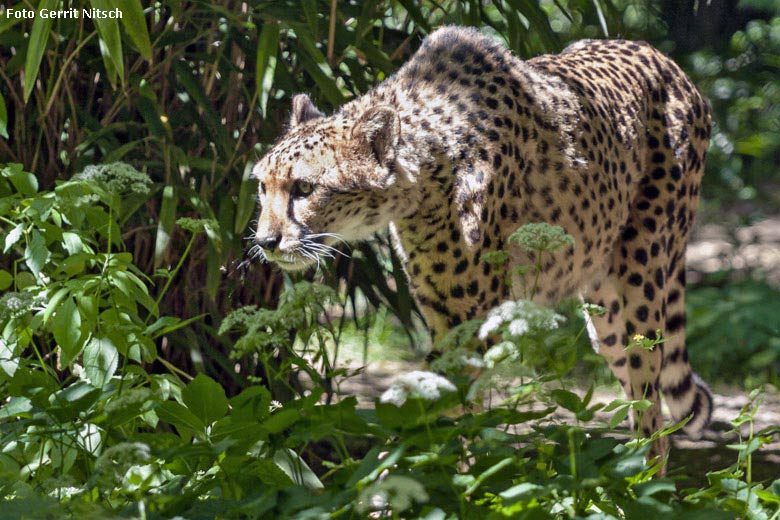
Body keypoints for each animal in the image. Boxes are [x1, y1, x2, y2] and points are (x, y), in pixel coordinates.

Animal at [254, 26, 712, 462]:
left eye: (304, 187)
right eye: (261, 185)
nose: (265, 241)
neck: (427, 167)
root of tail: (664, 60)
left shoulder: (470, 325)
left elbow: (425, 410)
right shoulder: (443, 317)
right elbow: (457, 422)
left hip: (642, 280)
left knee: (651, 407)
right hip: (605, 309)